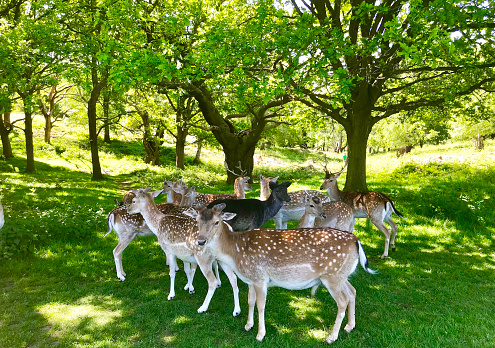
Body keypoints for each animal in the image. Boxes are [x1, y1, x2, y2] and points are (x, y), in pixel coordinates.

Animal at [185, 203, 376, 344]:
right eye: (197, 220)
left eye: (217, 222)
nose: (200, 241)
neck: (235, 252)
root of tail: (357, 241)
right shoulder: (250, 278)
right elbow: (250, 301)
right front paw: (248, 326)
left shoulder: (260, 278)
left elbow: (261, 305)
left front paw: (260, 334)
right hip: (342, 274)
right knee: (352, 291)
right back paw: (350, 326)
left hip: (333, 276)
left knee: (342, 301)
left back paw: (331, 337)